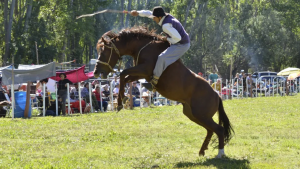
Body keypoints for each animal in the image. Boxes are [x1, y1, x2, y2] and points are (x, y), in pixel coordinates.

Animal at [94, 26, 234, 158]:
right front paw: (121, 100)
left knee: (219, 129)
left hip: (201, 115)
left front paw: (120, 102)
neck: (143, 47)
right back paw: (202, 151)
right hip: (193, 114)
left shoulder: (144, 70)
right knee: (210, 130)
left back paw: (220, 153)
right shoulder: (140, 73)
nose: (96, 72)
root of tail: (216, 95)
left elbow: (123, 73)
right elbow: (125, 78)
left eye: (104, 52)